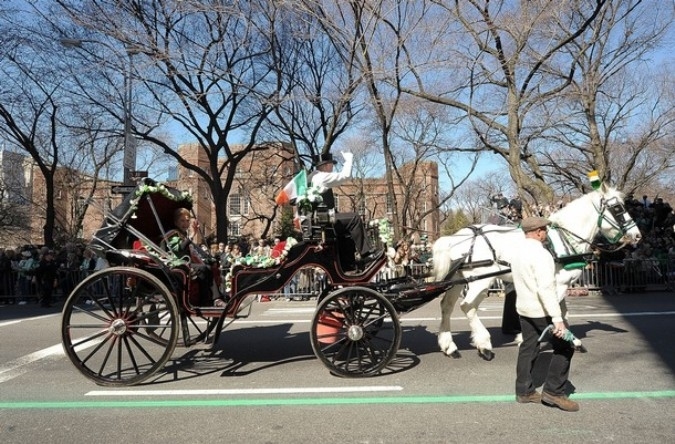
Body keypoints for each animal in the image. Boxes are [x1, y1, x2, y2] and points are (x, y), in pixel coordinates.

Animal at [434, 184, 644, 360]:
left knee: (446, 306)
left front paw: (573, 340)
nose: (637, 235)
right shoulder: (558, 283)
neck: (564, 238)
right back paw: (484, 345)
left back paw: (449, 346)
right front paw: (527, 338)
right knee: (467, 306)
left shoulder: (559, 284)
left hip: (457, 281)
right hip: (480, 281)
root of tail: (457, 237)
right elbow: (554, 312)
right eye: (617, 208)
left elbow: (563, 313)